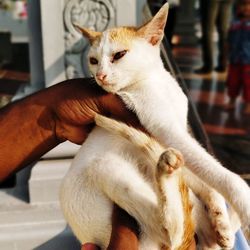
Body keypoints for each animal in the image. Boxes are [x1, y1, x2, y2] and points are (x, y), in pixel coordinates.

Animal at [59, 2, 249, 250]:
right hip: (105, 166)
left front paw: (221, 219)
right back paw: (165, 172)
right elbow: (224, 175)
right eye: (93, 60)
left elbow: (206, 179)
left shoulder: (178, 134)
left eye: (119, 55)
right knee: (170, 230)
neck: (157, 82)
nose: (100, 75)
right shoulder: (166, 130)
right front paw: (243, 202)